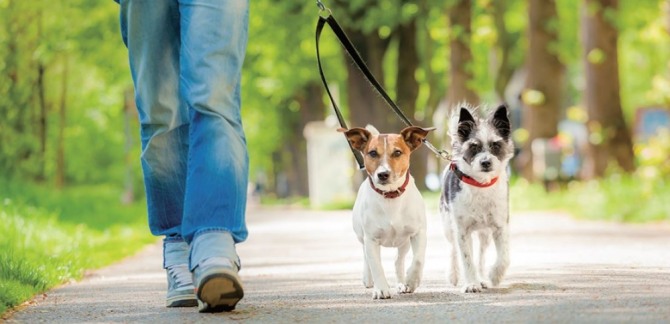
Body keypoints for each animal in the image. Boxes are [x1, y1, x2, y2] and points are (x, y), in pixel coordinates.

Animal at [342, 124, 436, 298]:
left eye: (397, 152)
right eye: (372, 153)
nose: (383, 174)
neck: (391, 196)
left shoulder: (418, 233)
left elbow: (418, 260)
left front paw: (411, 280)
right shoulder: (371, 239)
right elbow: (376, 266)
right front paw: (381, 289)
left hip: (404, 242)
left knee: (398, 261)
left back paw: (401, 283)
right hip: (361, 236)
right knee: (366, 257)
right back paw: (368, 279)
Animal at [440, 104, 516, 294]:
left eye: (496, 145)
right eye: (474, 146)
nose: (486, 162)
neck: (480, 185)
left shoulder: (500, 226)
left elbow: (504, 257)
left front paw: (494, 276)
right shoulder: (462, 230)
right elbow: (466, 259)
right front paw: (471, 284)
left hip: (484, 234)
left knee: (481, 256)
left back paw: (482, 278)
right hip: (448, 225)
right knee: (453, 249)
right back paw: (454, 274)